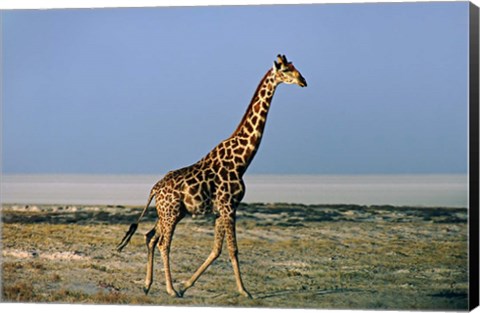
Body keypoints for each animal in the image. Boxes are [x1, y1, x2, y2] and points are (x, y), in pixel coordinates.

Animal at [116, 53, 308, 298]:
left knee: (150, 237)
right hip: (171, 214)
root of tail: (153, 189)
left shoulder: (220, 211)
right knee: (163, 244)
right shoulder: (229, 206)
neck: (242, 161)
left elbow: (217, 249)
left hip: (170, 213)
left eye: (295, 67)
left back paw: (148, 285)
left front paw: (186, 285)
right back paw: (170, 289)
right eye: (285, 69)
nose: (303, 81)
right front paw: (244, 291)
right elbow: (233, 249)